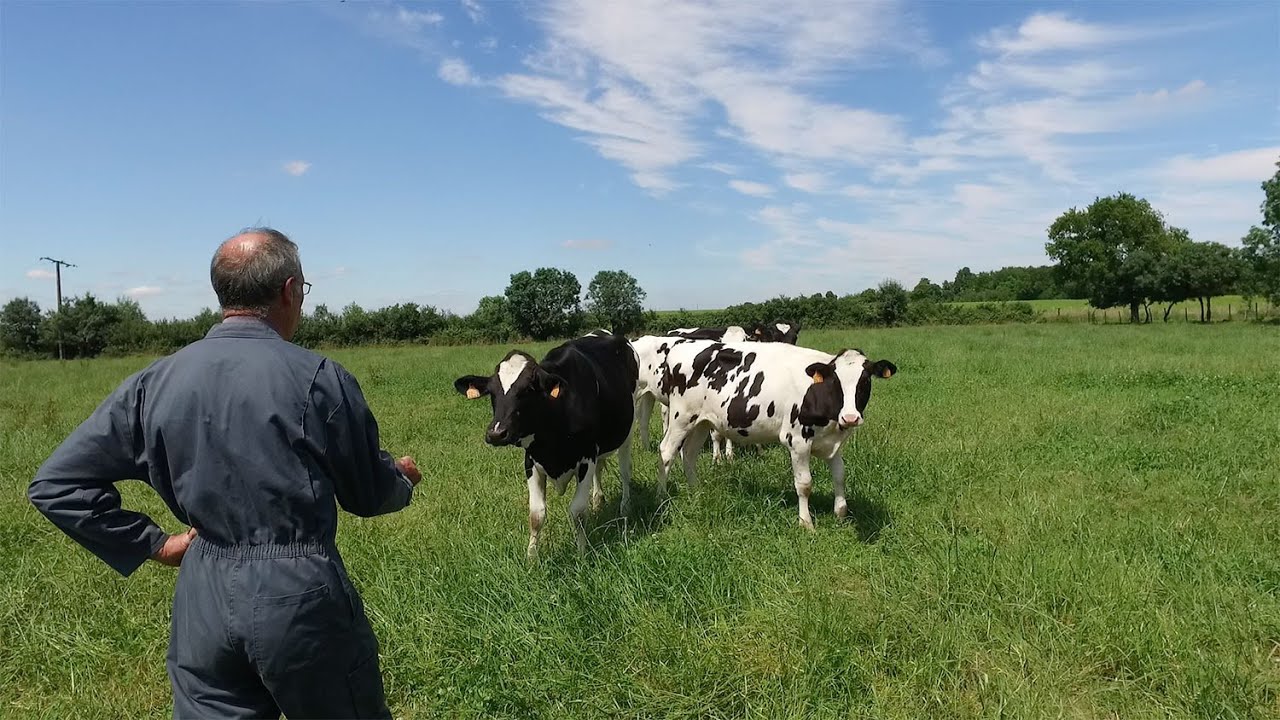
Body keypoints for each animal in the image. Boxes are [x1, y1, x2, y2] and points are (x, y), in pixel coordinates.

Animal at [454, 333, 639, 558]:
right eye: (491, 392)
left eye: (527, 390)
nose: (496, 433)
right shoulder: (531, 461)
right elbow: (536, 514)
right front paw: (531, 558)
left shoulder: (586, 458)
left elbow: (577, 511)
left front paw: (582, 554)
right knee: (601, 468)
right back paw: (597, 502)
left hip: (628, 431)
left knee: (625, 471)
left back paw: (626, 507)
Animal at [654, 338, 896, 529]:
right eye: (836, 381)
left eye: (865, 380)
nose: (850, 417)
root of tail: (682, 345)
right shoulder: (797, 440)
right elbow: (804, 484)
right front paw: (806, 523)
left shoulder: (833, 444)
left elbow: (839, 476)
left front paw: (840, 514)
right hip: (681, 417)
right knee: (666, 452)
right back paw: (662, 497)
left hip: (702, 422)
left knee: (689, 454)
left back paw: (696, 492)